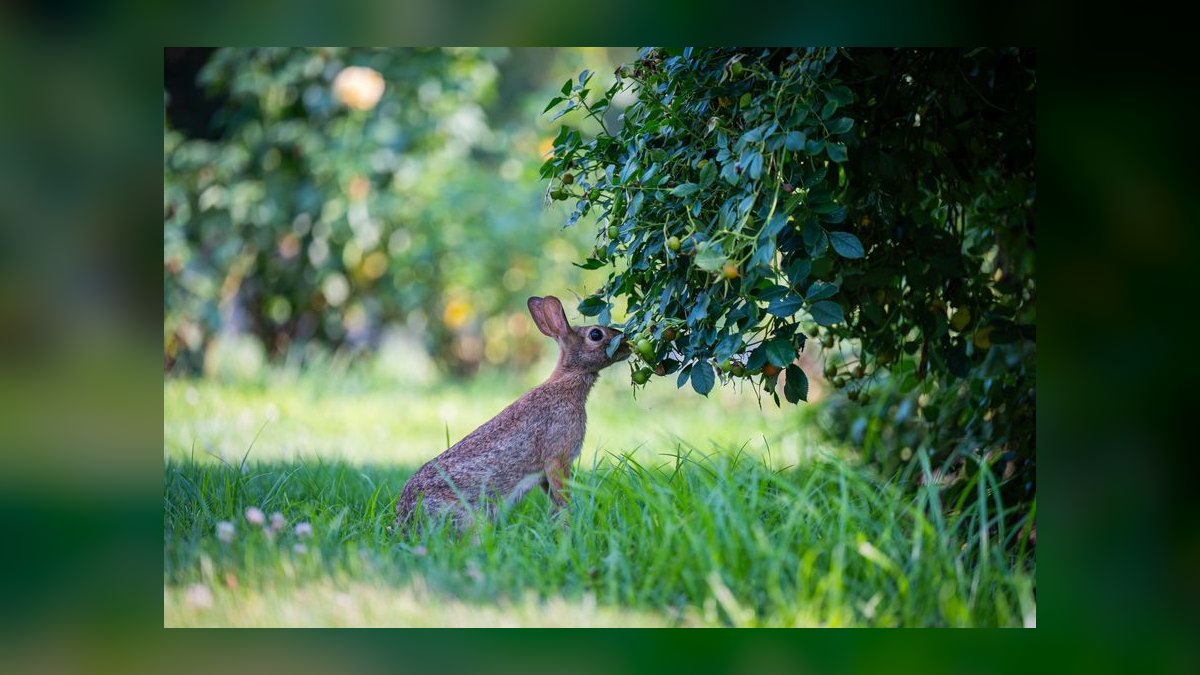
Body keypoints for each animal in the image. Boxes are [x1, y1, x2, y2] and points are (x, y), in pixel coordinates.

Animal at [395, 295, 630, 530]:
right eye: (596, 334)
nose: (627, 341)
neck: (568, 378)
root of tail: (404, 520)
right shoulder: (557, 457)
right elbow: (562, 496)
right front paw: (568, 524)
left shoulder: (544, 474)